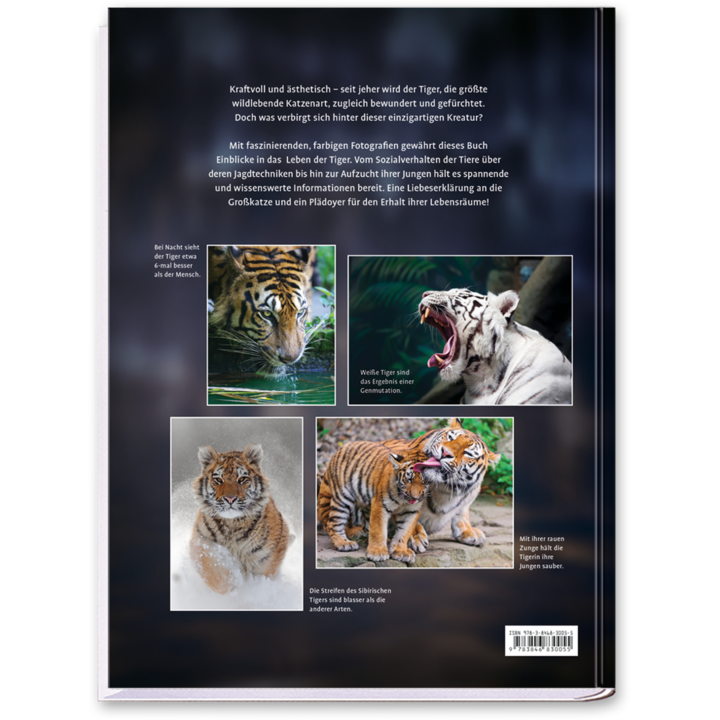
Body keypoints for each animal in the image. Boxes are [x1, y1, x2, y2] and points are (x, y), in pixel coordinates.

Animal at [189, 443, 291, 593]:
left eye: (242, 479)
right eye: (218, 480)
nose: (230, 499)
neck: (232, 524)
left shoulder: (269, 554)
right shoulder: (201, 542)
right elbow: (215, 573)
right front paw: (234, 587)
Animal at [381, 419, 502, 551]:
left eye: (468, 453)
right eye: (450, 437)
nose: (445, 452)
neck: (445, 489)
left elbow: (462, 513)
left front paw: (468, 531)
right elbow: (407, 517)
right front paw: (416, 536)